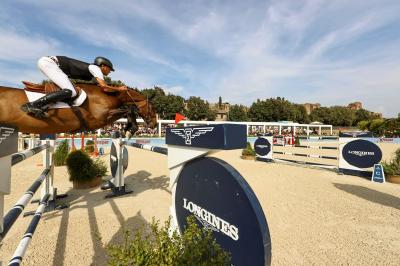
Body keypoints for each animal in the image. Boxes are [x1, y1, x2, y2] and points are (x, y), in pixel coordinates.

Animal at [0, 83, 157, 134]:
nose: (155, 125)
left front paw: (128, 129)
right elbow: (129, 109)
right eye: (151, 107)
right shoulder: (99, 120)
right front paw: (130, 129)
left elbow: (129, 110)